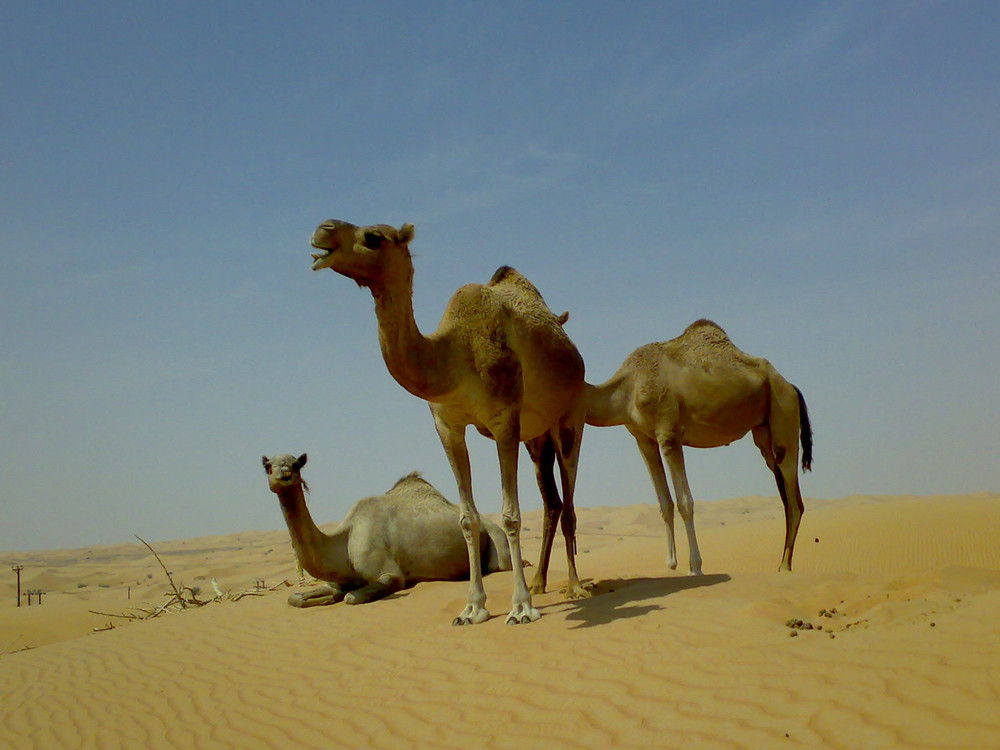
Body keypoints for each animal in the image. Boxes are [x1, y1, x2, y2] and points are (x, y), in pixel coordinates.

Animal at [262, 456, 512, 608]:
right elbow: (295, 598)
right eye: (268, 466)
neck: (345, 539)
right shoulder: (337, 579)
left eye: (296, 464)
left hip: (495, 537)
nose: (284, 474)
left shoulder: (390, 574)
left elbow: (352, 597)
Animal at [308, 220, 584, 624]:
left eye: (373, 237)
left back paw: (575, 587)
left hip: (570, 417)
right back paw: (540, 584)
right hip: (537, 436)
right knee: (553, 501)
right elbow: (467, 519)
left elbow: (511, 515)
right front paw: (473, 608)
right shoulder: (447, 427)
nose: (322, 230)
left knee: (569, 497)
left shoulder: (504, 419)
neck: (454, 354)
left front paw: (519, 608)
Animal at [584, 318, 808, 576]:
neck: (628, 388)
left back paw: (784, 566)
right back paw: (781, 564)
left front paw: (696, 567)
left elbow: (685, 502)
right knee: (783, 489)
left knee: (794, 498)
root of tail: (790, 386)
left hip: (784, 410)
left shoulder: (669, 434)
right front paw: (671, 563)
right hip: (764, 429)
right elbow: (664, 503)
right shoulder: (644, 439)